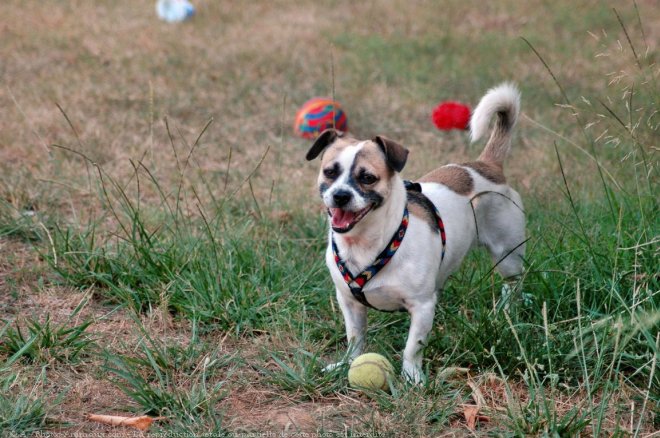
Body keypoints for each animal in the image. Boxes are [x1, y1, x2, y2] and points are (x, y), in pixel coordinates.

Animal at [306, 83, 528, 384]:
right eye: (329, 172)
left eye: (368, 178)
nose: (340, 195)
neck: (367, 244)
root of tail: (487, 165)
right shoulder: (350, 304)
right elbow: (355, 338)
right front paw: (347, 364)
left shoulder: (421, 307)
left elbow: (413, 346)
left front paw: (412, 377)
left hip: (508, 256)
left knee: (512, 285)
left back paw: (507, 313)